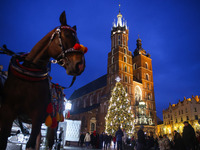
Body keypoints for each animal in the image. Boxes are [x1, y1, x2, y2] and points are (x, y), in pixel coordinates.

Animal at [0, 11, 86, 149]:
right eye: (67, 35)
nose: (81, 65)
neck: (29, 76)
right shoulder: (7, 112)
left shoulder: (37, 116)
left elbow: (30, 144)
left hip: (53, 122)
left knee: (49, 142)